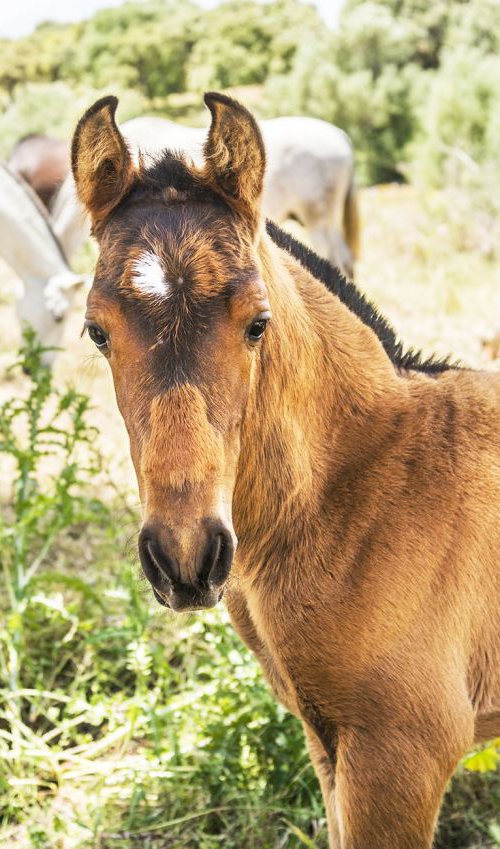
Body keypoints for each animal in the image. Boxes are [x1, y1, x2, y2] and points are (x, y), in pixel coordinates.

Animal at [71, 94, 500, 848]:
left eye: (257, 323)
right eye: (97, 331)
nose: (186, 556)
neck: (370, 485)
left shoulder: (401, 757)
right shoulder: (329, 747)